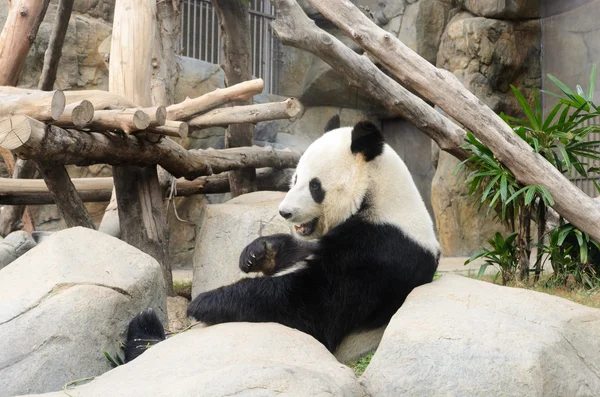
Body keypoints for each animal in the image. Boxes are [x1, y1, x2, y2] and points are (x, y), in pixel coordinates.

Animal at [123, 117, 440, 362]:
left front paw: (206, 301)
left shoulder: (377, 252)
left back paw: (144, 327)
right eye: (295, 177)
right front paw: (258, 253)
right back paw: (144, 327)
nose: (284, 212)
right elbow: (299, 251)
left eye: (314, 186)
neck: (377, 198)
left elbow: (310, 306)